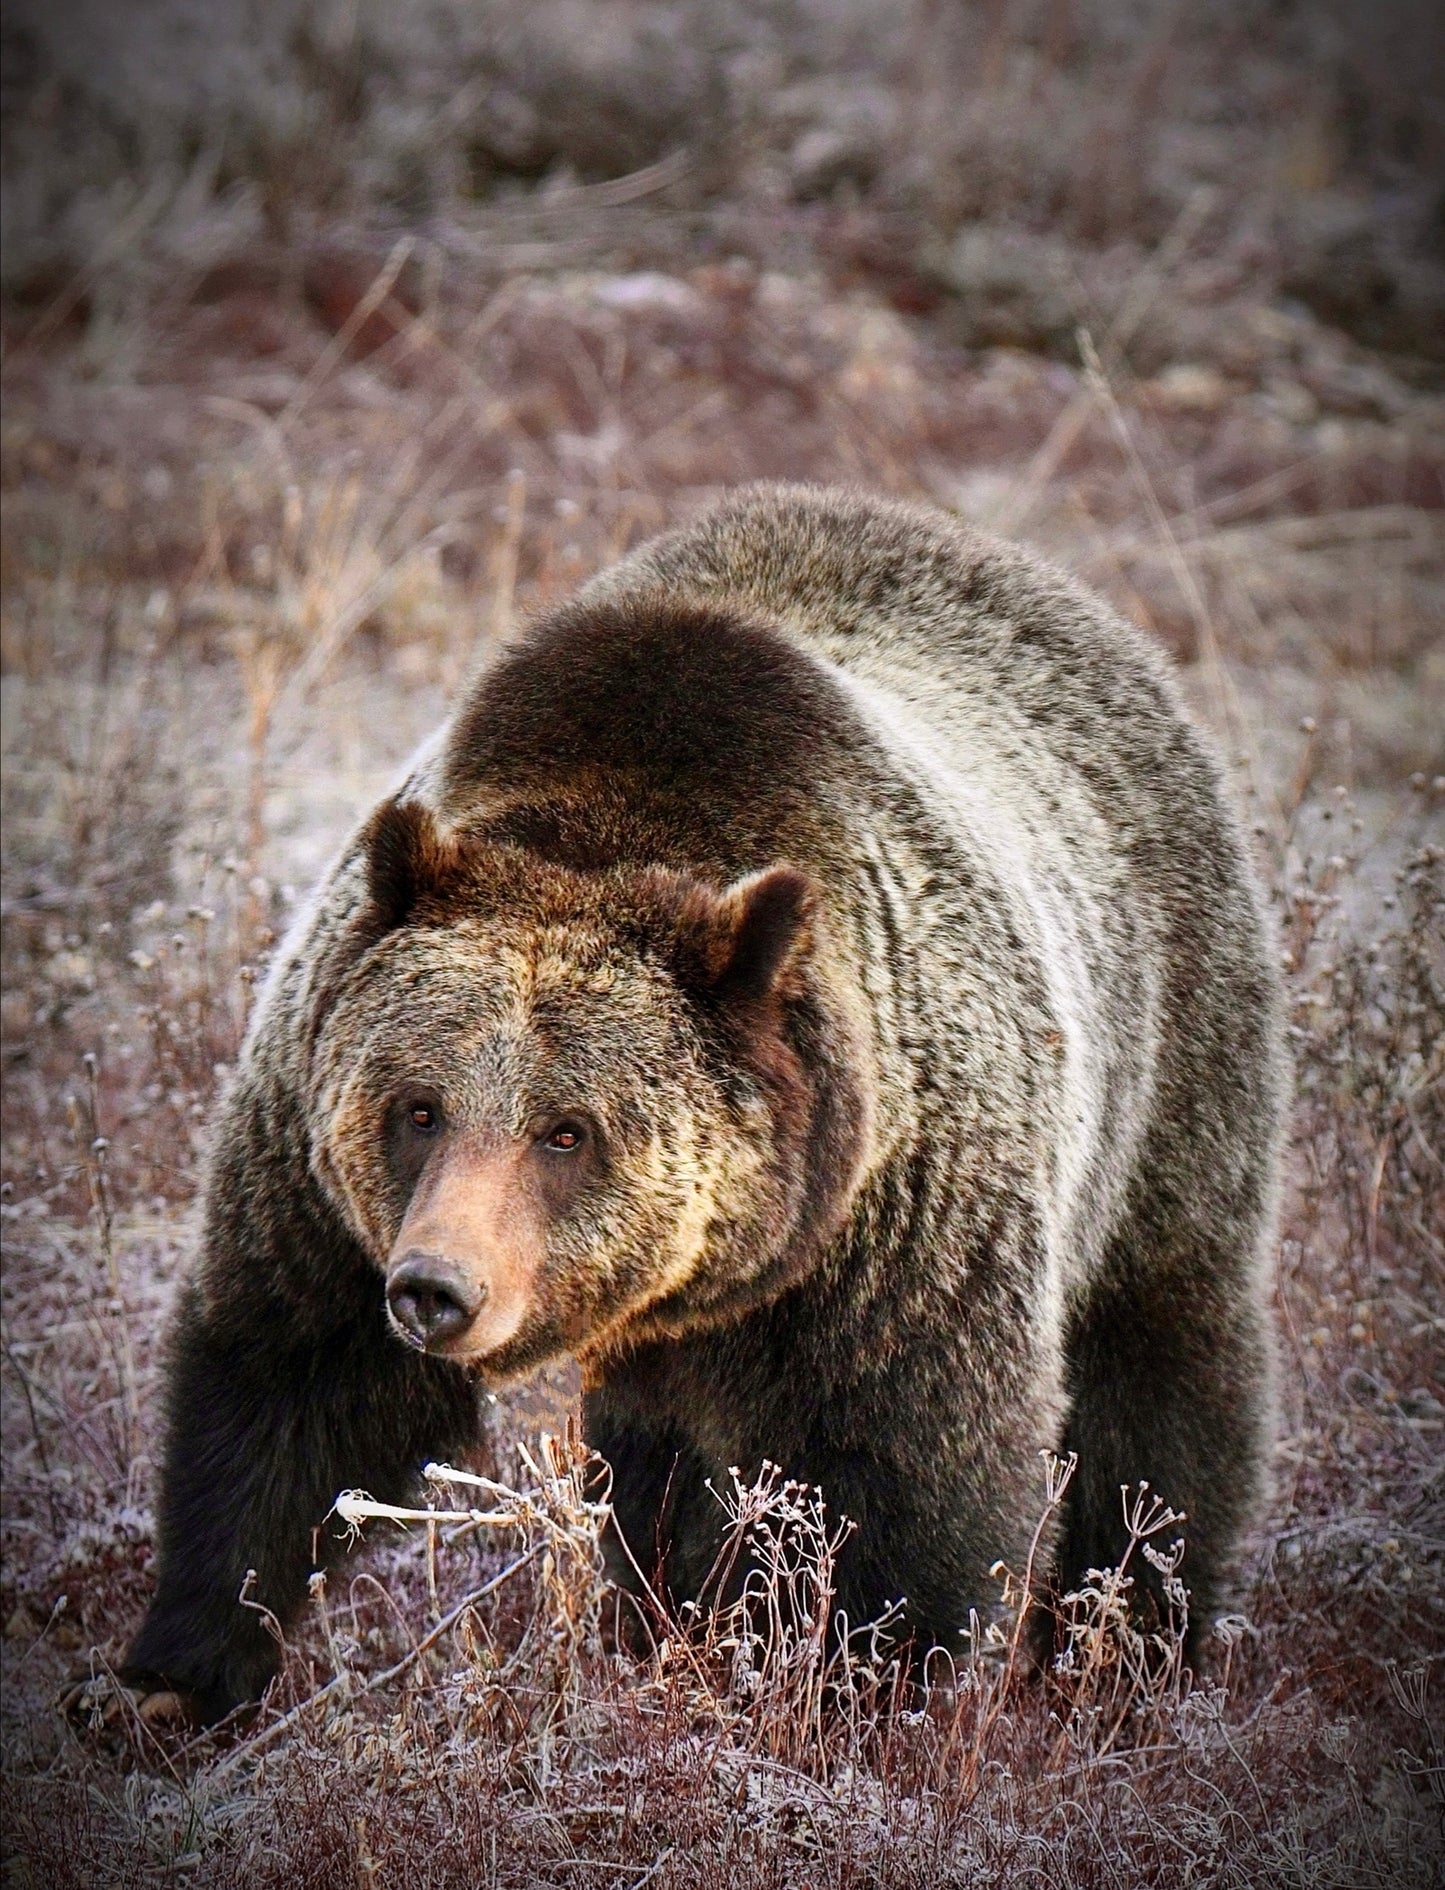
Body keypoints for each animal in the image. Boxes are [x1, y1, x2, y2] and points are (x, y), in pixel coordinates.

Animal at [118, 480, 1276, 1723]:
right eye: (416, 1107)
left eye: (567, 1131)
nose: (436, 1290)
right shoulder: (317, 1172)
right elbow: (289, 1381)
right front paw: (174, 1671)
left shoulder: (896, 1227)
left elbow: (915, 1482)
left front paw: (865, 1694)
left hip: (1169, 1068)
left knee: (1158, 1363)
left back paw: (1132, 1643)